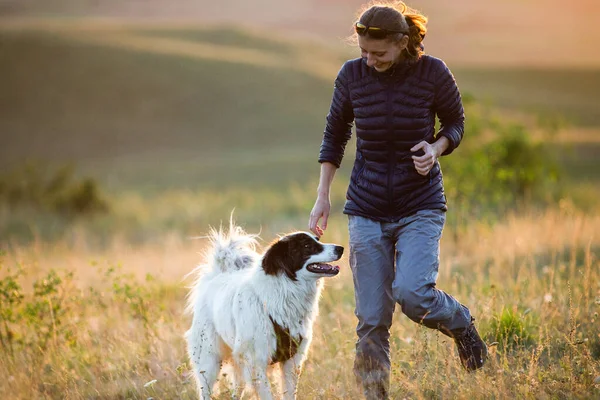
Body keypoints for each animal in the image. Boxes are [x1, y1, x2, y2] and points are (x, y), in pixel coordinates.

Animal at [185, 223, 342, 398]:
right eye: (307, 246)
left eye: (317, 239)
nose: (341, 248)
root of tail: (218, 275)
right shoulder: (256, 365)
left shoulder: (291, 361)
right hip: (209, 361)